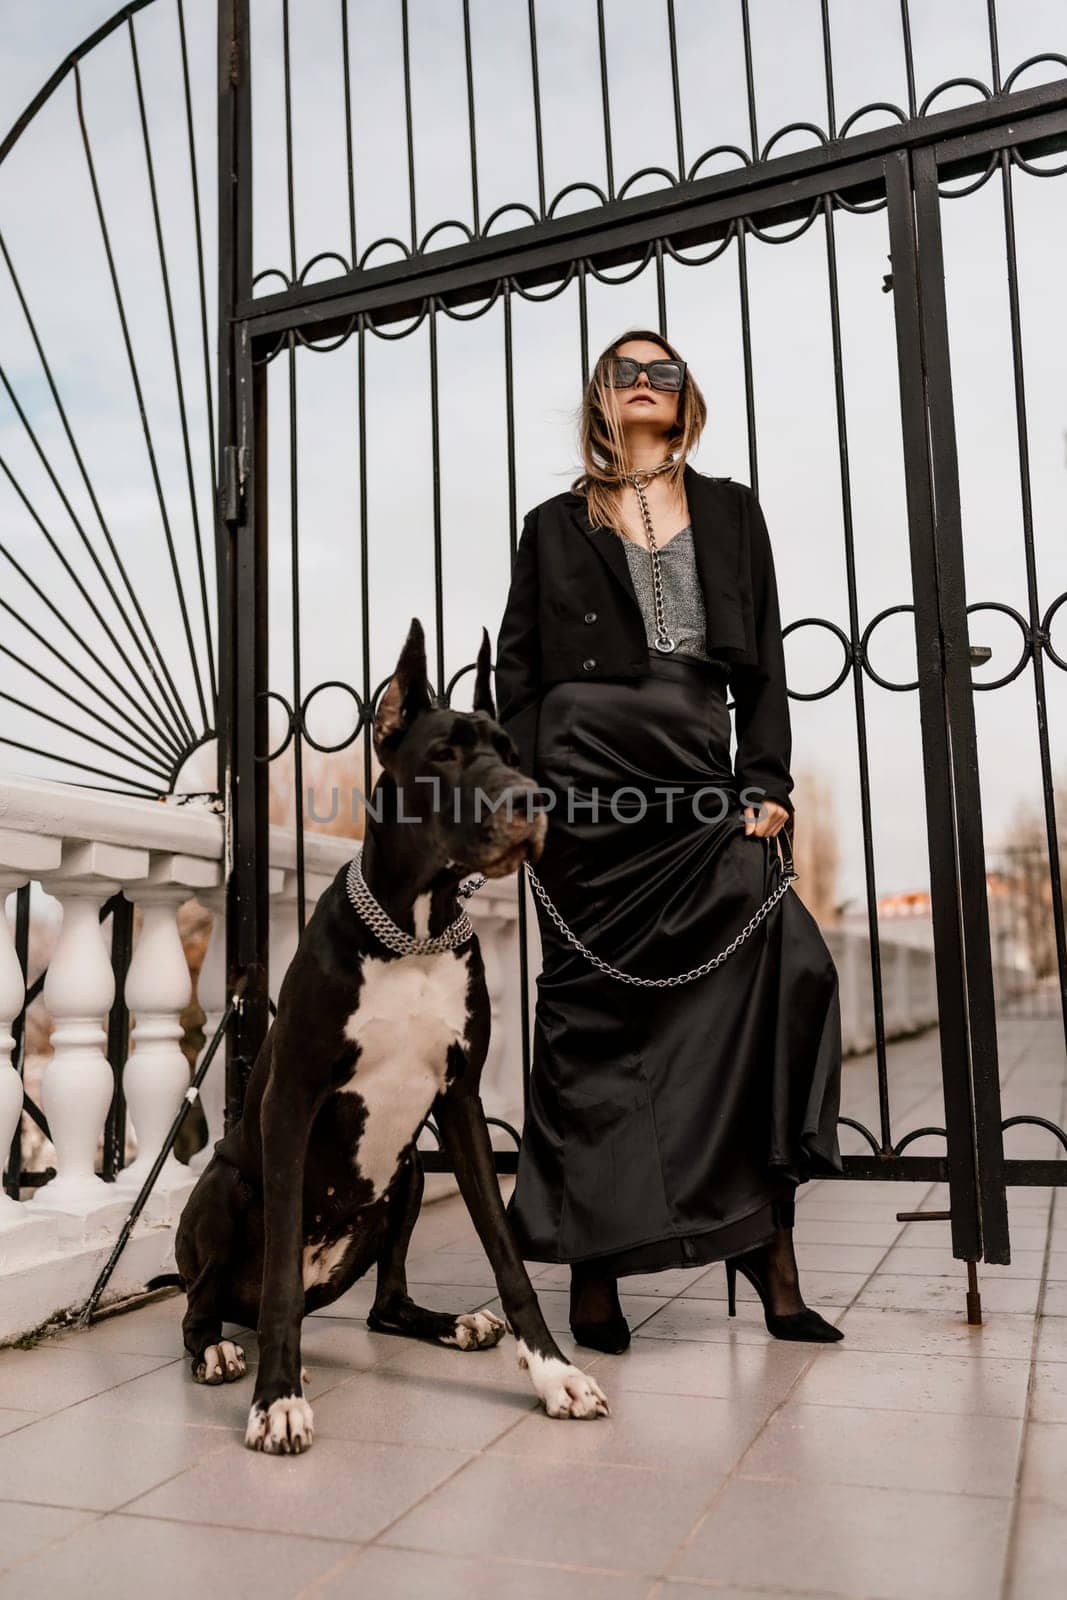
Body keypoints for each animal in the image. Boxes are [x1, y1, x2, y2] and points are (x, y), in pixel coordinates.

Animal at [175, 620, 607, 1452]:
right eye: (443, 754)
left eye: (510, 750)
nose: (529, 799)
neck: (415, 933)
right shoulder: (290, 1102)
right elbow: (277, 1280)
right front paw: (277, 1399)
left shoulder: (461, 1104)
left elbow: (506, 1254)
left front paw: (554, 1374)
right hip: (223, 1190)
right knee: (200, 1301)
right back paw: (218, 1350)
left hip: (406, 1170)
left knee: (382, 1305)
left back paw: (451, 1324)